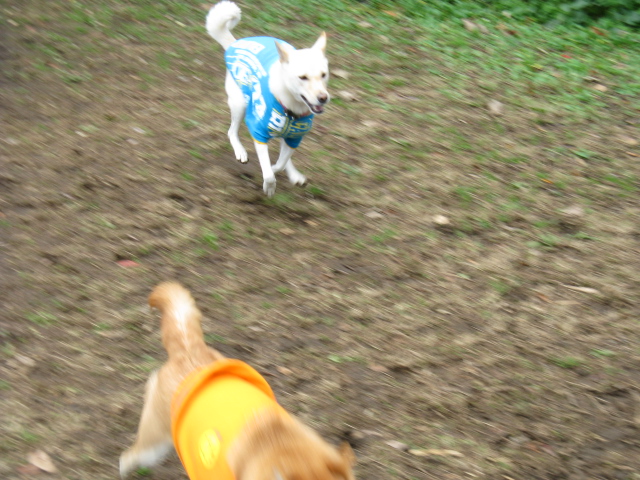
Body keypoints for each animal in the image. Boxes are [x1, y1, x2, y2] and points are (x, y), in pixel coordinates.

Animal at [206, 1, 330, 197]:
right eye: (303, 77)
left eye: (324, 75)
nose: (323, 98)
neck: (291, 106)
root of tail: (234, 44)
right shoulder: (259, 134)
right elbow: (270, 172)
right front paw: (269, 186)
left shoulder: (295, 138)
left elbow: (280, 162)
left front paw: (279, 170)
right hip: (240, 104)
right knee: (231, 131)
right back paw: (240, 151)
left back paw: (294, 175)